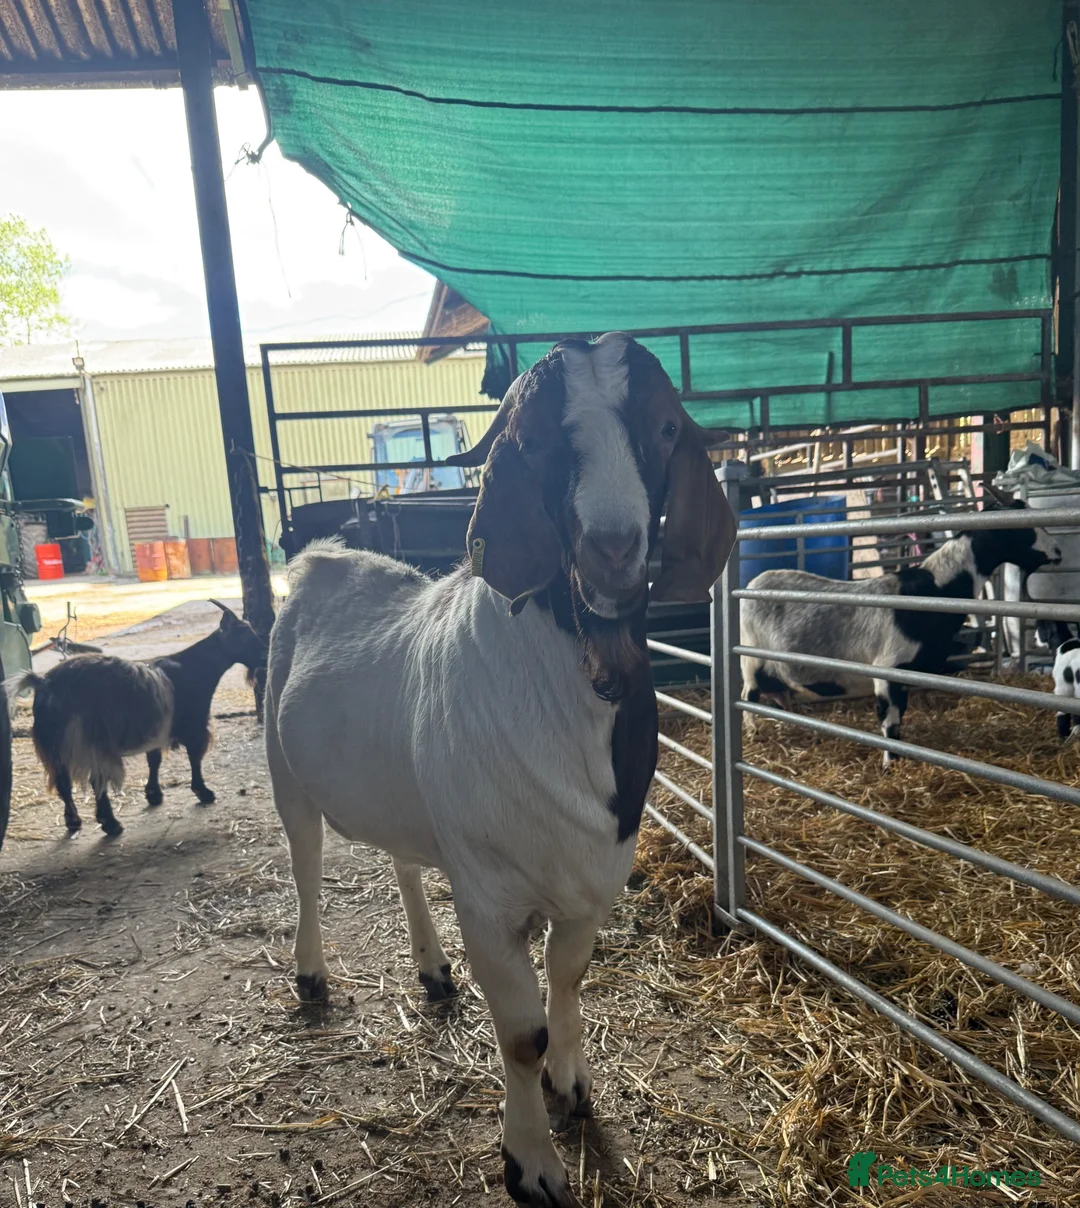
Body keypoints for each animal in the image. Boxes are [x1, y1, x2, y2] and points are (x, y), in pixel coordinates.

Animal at [9, 601, 266, 838]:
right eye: (244, 635)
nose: (264, 655)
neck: (193, 667)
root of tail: (44, 683)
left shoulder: (157, 728)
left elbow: (154, 759)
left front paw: (153, 794)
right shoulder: (194, 725)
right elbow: (194, 758)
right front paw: (204, 792)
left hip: (55, 744)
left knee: (63, 782)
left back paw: (74, 822)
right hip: (90, 740)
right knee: (95, 780)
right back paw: (111, 824)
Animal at [266, 333, 736, 1208]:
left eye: (664, 428)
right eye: (537, 440)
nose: (613, 549)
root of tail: (325, 553)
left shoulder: (593, 881)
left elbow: (570, 982)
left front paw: (572, 1085)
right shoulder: (488, 897)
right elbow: (520, 1035)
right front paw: (532, 1165)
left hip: (407, 791)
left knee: (402, 860)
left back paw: (432, 968)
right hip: (285, 772)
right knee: (305, 862)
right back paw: (311, 974)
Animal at [740, 499, 1062, 767]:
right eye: (1021, 530)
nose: (1058, 552)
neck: (934, 590)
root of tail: (753, 583)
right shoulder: (888, 670)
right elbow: (890, 722)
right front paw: (890, 763)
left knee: (778, 692)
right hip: (751, 659)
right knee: (749, 695)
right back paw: (754, 733)